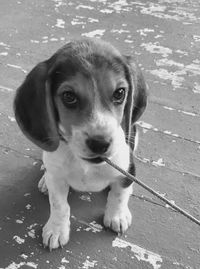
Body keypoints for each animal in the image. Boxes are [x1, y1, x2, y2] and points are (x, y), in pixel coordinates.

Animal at [13, 38, 147, 249]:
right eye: (69, 96)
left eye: (119, 93)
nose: (100, 143)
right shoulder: (57, 178)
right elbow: (59, 205)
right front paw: (57, 229)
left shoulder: (127, 169)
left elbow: (119, 194)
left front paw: (117, 216)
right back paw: (43, 180)